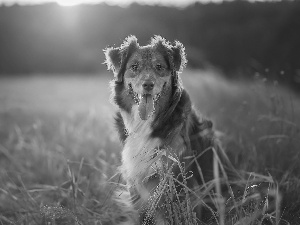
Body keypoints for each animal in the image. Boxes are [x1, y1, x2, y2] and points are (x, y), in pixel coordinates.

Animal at [103, 35, 237, 223]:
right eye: (134, 67)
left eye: (159, 67)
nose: (148, 85)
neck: (147, 124)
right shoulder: (136, 180)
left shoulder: (178, 179)